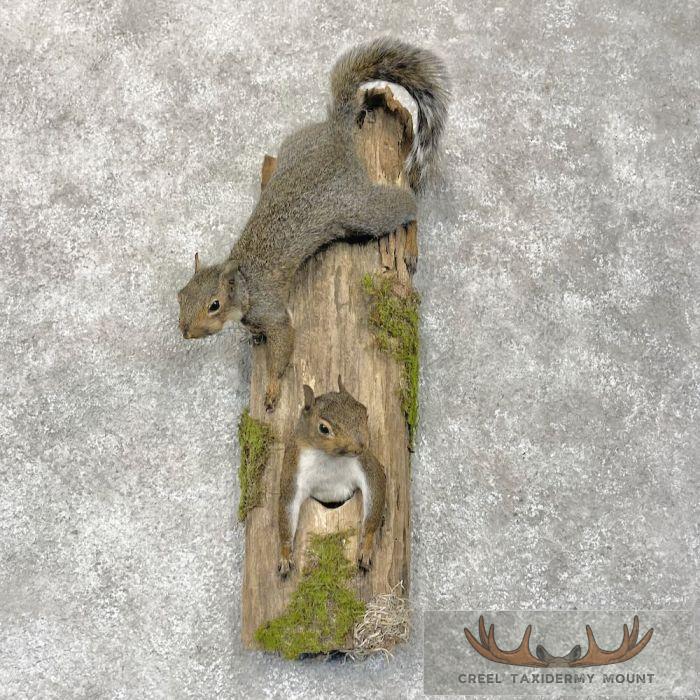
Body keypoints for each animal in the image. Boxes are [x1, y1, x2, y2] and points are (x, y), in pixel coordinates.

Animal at [177, 38, 449, 410]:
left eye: (214, 305)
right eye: (180, 294)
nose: (185, 331)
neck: (244, 282)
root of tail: (337, 133)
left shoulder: (271, 310)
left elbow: (284, 342)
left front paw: (273, 389)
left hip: (360, 209)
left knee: (401, 205)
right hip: (293, 144)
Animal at [276, 377, 386, 576]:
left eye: (365, 412)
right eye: (323, 428)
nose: (360, 446)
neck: (328, 457)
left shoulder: (366, 465)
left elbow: (376, 486)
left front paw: (366, 547)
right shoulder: (293, 473)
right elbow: (287, 508)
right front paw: (285, 554)